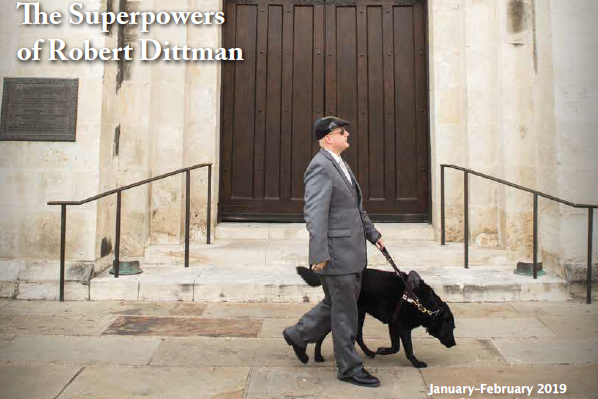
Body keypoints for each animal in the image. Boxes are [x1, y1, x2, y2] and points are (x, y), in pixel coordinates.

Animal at [298, 268, 458, 370]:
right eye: (451, 328)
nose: (454, 344)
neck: (424, 304)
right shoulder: (401, 326)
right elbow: (407, 349)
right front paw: (416, 363)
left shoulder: (393, 325)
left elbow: (396, 347)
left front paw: (383, 350)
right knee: (323, 334)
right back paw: (318, 356)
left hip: (359, 313)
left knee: (357, 335)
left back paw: (367, 352)